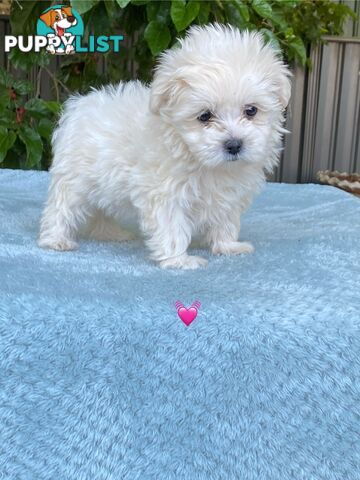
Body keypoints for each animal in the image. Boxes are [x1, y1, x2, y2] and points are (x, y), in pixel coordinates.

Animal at [39, 24, 292, 268]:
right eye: (204, 116)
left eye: (251, 110)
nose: (234, 144)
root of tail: (79, 105)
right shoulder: (165, 193)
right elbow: (172, 226)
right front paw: (179, 260)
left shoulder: (229, 194)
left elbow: (226, 219)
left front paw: (228, 246)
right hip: (74, 179)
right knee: (61, 208)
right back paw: (56, 239)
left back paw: (110, 233)